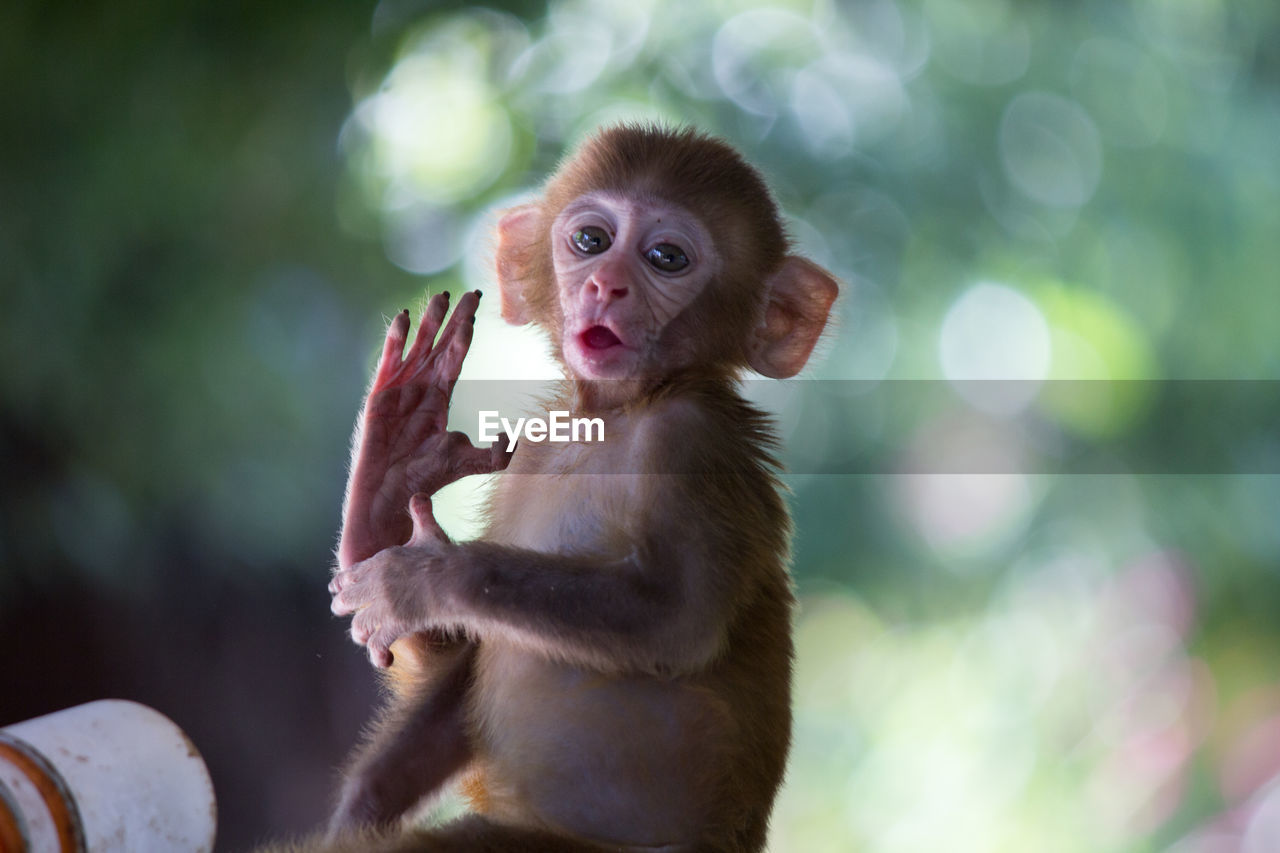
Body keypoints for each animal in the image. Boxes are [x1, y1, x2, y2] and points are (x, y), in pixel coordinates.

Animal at [321, 124, 839, 853]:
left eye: (666, 258)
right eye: (592, 241)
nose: (606, 285)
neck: (617, 412)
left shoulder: (694, 438)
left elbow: (676, 620)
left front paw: (422, 578)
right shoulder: (534, 452)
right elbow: (463, 674)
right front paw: (390, 469)